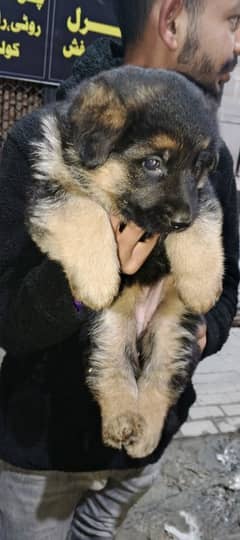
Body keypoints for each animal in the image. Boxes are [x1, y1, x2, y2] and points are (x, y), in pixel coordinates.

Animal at [27, 65, 224, 458]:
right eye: (153, 163)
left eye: (198, 166)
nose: (181, 220)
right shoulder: (50, 188)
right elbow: (82, 210)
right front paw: (98, 279)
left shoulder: (202, 196)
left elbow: (205, 222)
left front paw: (203, 285)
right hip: (108, 326)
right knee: (111, 370)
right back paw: (122, 422)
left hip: (174, 330)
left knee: (160, 379)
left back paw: (143, 435)